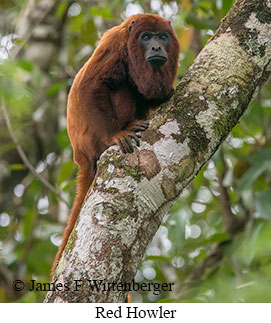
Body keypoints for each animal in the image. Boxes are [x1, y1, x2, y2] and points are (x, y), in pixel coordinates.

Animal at [52, 13, 181, 278]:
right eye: (146, 37)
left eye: (162, 37)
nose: (156, 47)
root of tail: (81, 156)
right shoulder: (116, 46)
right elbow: (91, 86)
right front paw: (116, 135)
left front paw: (166, 94)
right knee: (121, 86)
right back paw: (127, 127)